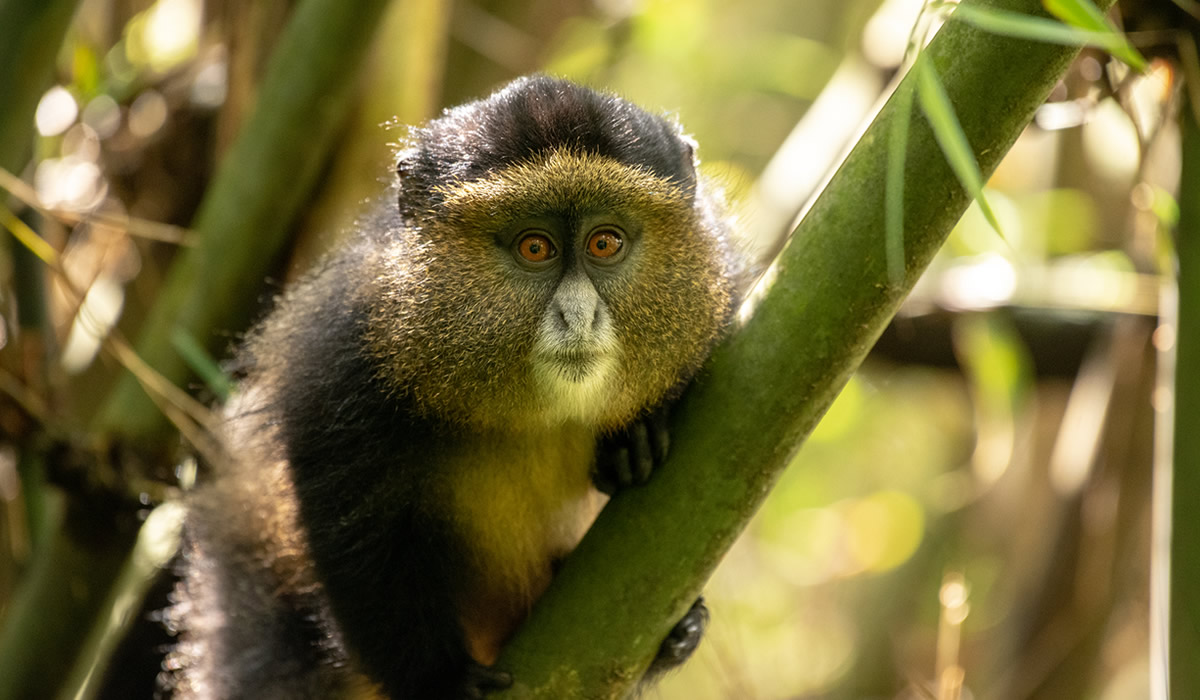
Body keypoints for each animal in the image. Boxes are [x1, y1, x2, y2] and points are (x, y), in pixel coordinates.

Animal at [163, 75, 743, 699]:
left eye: (604, 243)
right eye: (535, 248)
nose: (578, 316)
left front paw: (634, 435)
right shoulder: (344, 360)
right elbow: (357, 538)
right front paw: (439, 681)